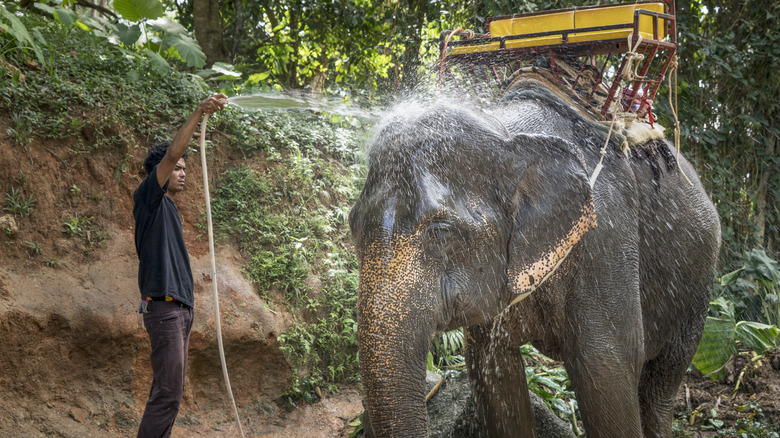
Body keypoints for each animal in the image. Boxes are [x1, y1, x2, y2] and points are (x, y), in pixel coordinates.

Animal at [349, 81, 721, 438]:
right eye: (353, 226)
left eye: (440, 232)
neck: (503, 129)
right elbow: (495, 373)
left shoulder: (608, 239)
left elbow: (608, 371)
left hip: (698, 288)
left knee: (660, 384)